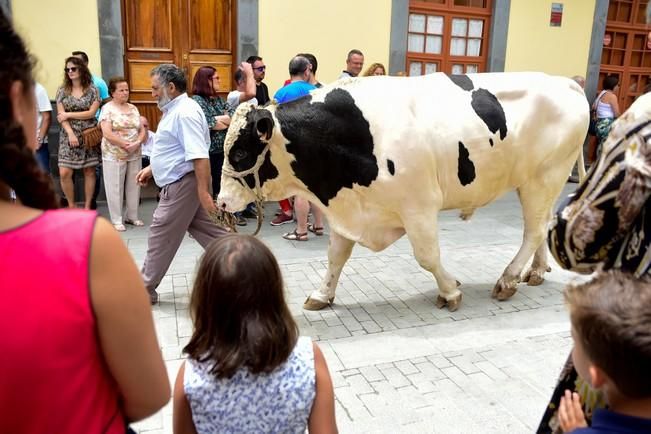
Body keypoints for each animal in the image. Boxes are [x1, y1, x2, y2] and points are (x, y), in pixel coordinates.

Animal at [219, 73, 592, 312]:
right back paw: (535, 273)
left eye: (240, 153)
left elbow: (427, 256)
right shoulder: (348, 206)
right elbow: (335, 257)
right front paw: (322, 295)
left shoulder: (419, 206)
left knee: (533, 230)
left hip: (544, 177)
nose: (221, 201)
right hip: (537, 182)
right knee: (542, 225)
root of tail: (566, 81)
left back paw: (508, 280)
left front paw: (450, 291)